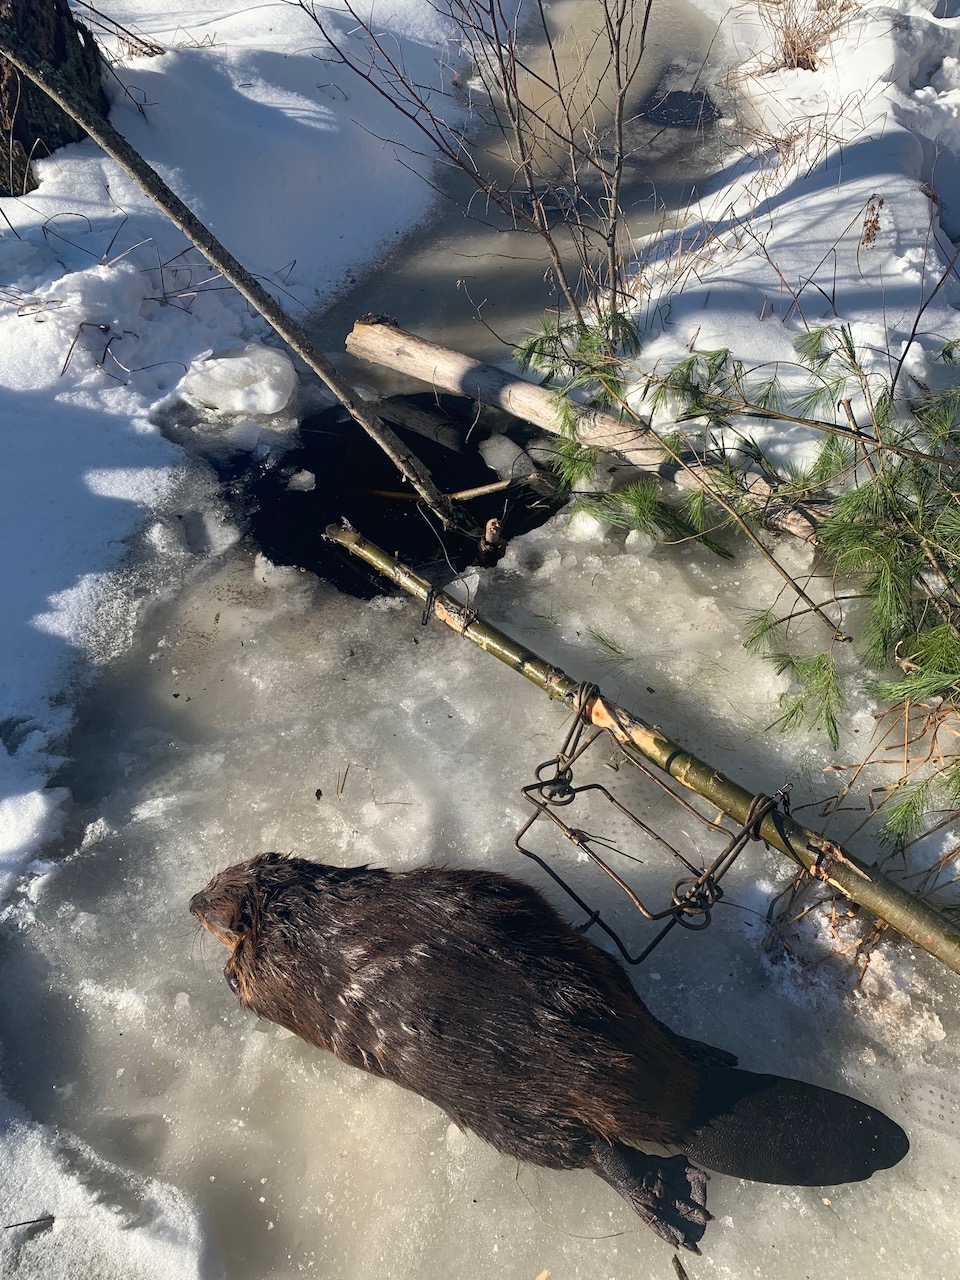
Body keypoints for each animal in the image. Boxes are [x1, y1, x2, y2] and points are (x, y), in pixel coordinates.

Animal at [188, 849, 911, 1249]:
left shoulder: (273, 974)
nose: (193, 898)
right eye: (223, 876)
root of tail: (692, 1109)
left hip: (499, 1113)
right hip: (587, 964)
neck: (294, 910)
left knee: (591, 1151)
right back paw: (710, 1059)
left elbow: (248, 983)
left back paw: (672, 1203)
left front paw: (224, 971)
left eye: (214, 896)